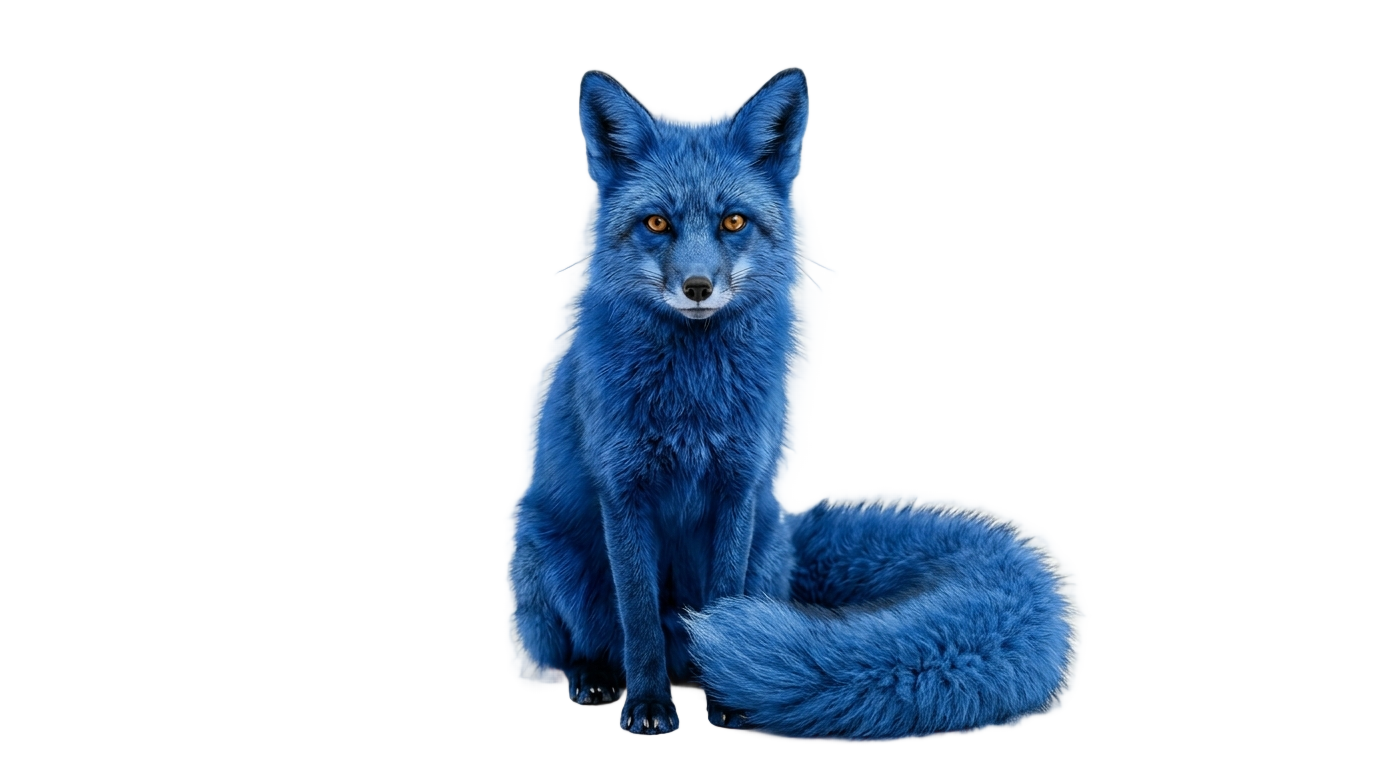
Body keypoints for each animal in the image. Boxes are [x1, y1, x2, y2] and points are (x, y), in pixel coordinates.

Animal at [508, 68, 1074, 737]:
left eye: (733, 222)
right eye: (657, 224)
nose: (697, 287)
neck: (694, 401)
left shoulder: (737, 487)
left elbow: (722, 600)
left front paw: (726, 693)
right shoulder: (624, 495)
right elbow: (639, 617)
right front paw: (647, 705)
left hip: (765, 540)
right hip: (550, 552)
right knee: (575, 647)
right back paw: (598, 678)